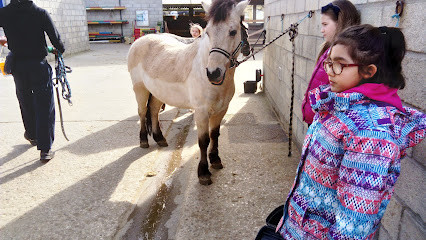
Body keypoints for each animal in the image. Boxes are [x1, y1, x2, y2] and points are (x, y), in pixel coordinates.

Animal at [126, 0, 250, 186]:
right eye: (208, 32)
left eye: (233, 31)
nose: (213, 73)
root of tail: (140, 40)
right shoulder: (201, 112)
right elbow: (204, 140)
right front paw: (203, 173)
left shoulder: (221, 110)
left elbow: (215, 135)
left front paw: (215, 160)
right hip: (140, 89)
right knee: (142, 112)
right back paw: (143, 141)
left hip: (158, 93)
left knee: (153, 111)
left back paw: (160, 138)